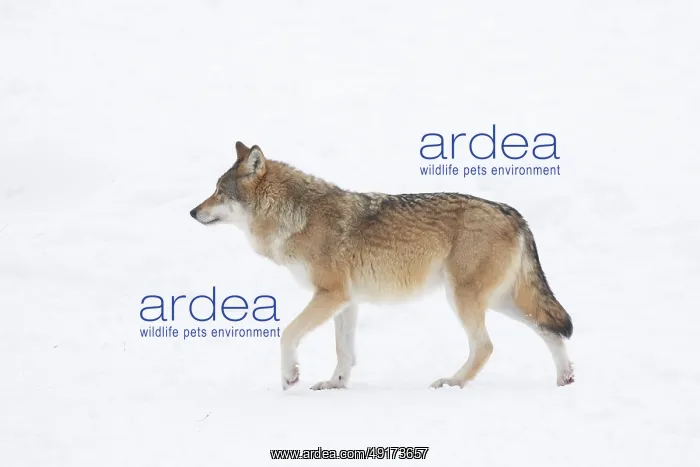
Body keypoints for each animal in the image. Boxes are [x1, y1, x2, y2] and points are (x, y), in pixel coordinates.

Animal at [190, 142, 574, 390]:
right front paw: (335, 384)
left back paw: (452, 382)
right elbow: (344, 352)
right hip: (500, 301)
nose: (192, 212)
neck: (296, 215)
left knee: (486, 346)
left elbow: (288, 334)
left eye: (219, 191)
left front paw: (289, 377)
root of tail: (512, 212)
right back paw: (565, 379)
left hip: (464, 298)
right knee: (550, 331)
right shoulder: (346, 301)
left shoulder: (329, 295)